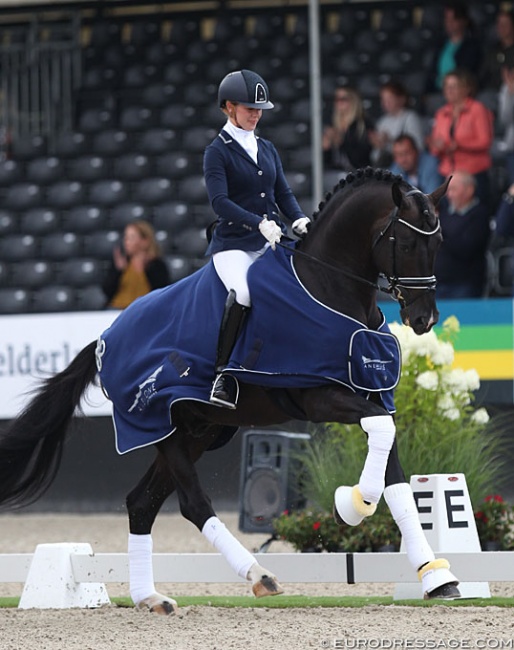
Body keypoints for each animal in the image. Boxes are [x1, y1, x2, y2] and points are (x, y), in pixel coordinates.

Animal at [0, 166, 456, 608]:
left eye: (439, 243)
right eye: (407, 243)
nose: (424, 319)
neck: (327, 287)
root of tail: (104, 339)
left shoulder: (375, 395)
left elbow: (394, 469)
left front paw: (436, 577)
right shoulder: (320, 397)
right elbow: (380, 437)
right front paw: (353, 505)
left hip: (198, 430)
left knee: (141, 503)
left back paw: (151, 598)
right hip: (159, 426)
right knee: (192, 503)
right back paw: (258, 575)